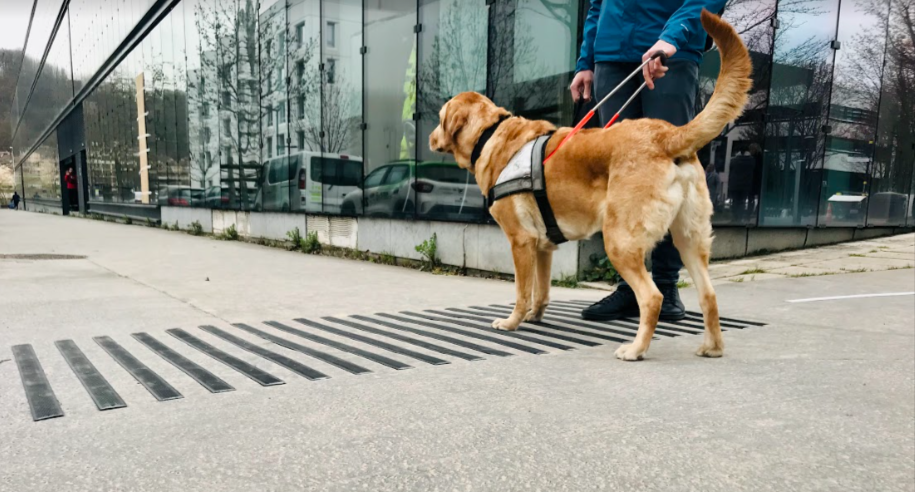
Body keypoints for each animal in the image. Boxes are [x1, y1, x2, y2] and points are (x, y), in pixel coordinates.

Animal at [430, 8, 752, 362]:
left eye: (439, 118)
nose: (430, 137)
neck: (490, 134)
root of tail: (667, 135)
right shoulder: (543, 247)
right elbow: (541, 291)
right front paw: (535, 316)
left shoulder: (521, 242)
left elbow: (521, 291)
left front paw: (512, 322)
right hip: (688, 239)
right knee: (708, 295)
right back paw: (712, 347)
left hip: (620, 240)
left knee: (652, 297)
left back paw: (636, 349)